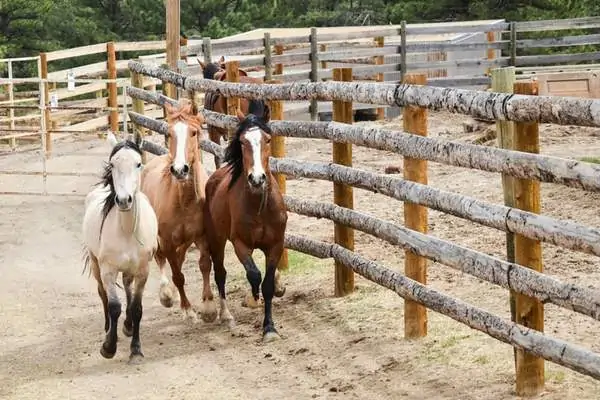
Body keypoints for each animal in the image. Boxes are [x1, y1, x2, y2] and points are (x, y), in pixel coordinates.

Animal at [82, 133, 158, 364]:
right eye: (113, 164)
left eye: (138, 163)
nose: (124, 200)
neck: (126, 230)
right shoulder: (108, 269)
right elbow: (114, 306)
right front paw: (108, 347)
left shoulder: (143, 271)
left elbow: (137, 307)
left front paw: (136, 350)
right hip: (96, 263)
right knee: (103, 294)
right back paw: (108, 327)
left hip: (129, 270)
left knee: (127, 289)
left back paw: (128, 326)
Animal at [139, 98, 217, 324]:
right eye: (169, 133)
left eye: (194, 132)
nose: (180, 169)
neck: (184, 202)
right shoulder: (166, 240)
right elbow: (178, 275)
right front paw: (188, 309)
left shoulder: (202, 236)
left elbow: (204, 265)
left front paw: (209, 307)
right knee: (161, 259)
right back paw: (166, 294)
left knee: (179, 259)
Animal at [203, 100, 288, 340]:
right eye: (242, 141)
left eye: (267, 139)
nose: (257, 179)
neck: (260, 207)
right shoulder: (240, 244)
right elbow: (254, 274)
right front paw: (253, 297)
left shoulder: (275, 245)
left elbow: (268, 284)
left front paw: (269, 328)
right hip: (216, 239)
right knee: (220, 274)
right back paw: (226, 315)